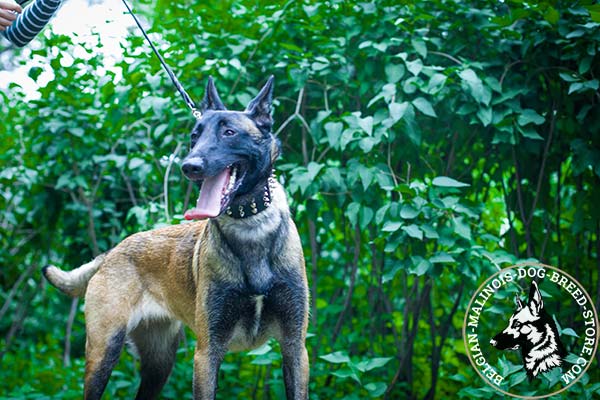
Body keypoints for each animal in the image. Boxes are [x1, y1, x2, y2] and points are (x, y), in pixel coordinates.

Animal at [43, 76, 310, 398]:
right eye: (195, 136)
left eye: (229, 133)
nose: (189, 166)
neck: (250, 225)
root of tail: (112, 253)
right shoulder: (207, 353)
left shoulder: (295, 348)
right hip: (103, 352)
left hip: (159, 363)